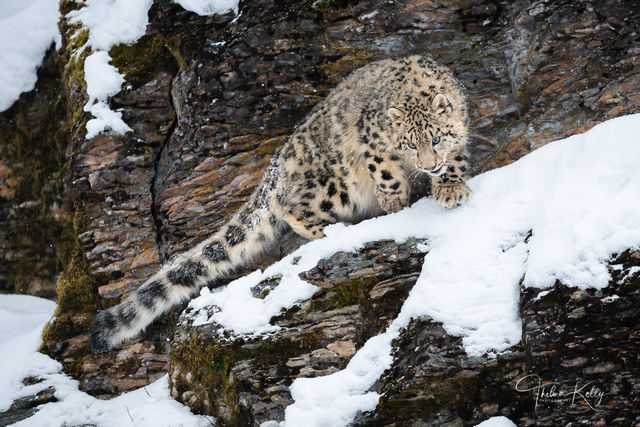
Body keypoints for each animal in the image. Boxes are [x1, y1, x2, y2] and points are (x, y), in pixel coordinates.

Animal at [89, 54, 472, 353]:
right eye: (410, 143)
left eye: (436, 138)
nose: (428, 165)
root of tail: (277, 165)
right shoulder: (373, 148)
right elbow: (387, 176)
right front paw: (396, 202)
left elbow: (457, 162)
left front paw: (450, 188)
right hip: (333, 184)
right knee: (295, 209)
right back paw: (338, 229)